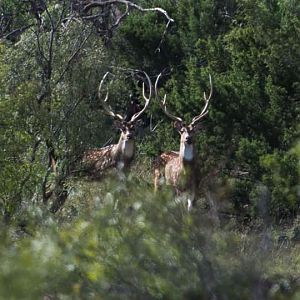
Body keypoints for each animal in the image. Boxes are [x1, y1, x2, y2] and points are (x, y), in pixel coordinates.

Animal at [154, 73, 212, 210]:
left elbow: (189, 209)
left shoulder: (195, 188)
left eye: (193, 130)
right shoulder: (177, 188)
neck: (186, 174)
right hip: (158, 180)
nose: (188, 138)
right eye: (182, 131)